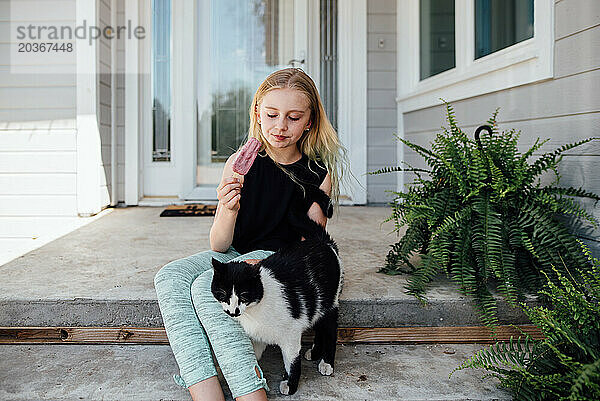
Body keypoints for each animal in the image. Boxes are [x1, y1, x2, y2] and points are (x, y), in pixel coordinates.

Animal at [210, 212, 342, 394]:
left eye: (244, 295)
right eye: (223, 294)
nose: (233, 311)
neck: (254, 311)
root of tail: (324, 242)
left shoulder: (291, 333)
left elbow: (292, 361)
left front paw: (291, 384)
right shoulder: (258, 335)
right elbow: (254, 356)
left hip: (329, 303)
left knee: (329, 330)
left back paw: (327, 362)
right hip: (316, 306)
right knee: (319, 326)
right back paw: (315, 353)